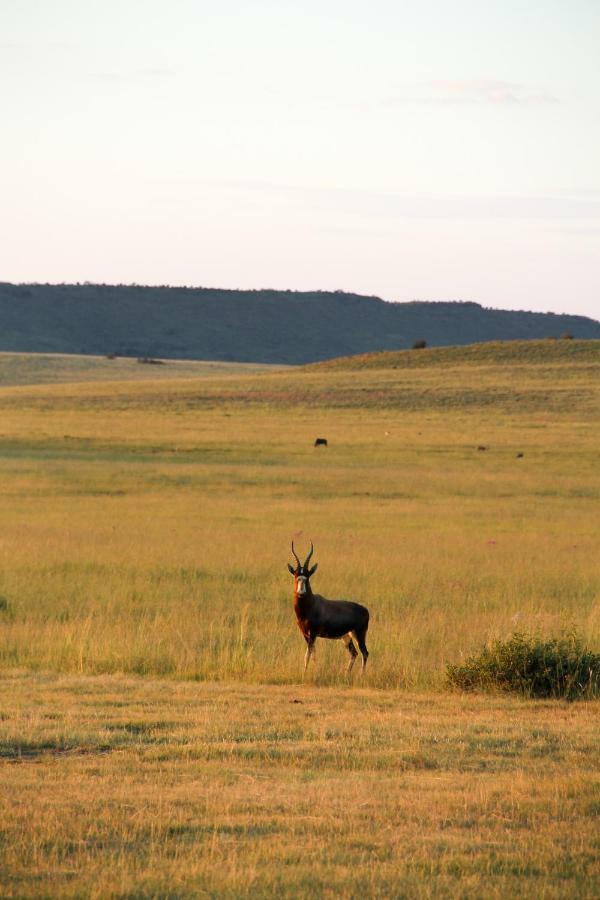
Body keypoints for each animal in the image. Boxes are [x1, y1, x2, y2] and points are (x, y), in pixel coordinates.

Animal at [288, 540, 370, 676]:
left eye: (307, 576)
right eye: (296, 575)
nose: (301, 593)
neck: (310, 606)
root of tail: (365, 610)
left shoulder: (313, 634)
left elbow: (308, 655)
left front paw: (305, 673)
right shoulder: (305, 634)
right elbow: (313, 654)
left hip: (359, 634)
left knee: (365, 653)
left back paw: (360, 675)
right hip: (346, 636)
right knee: (354, 653)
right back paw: (346, 674)